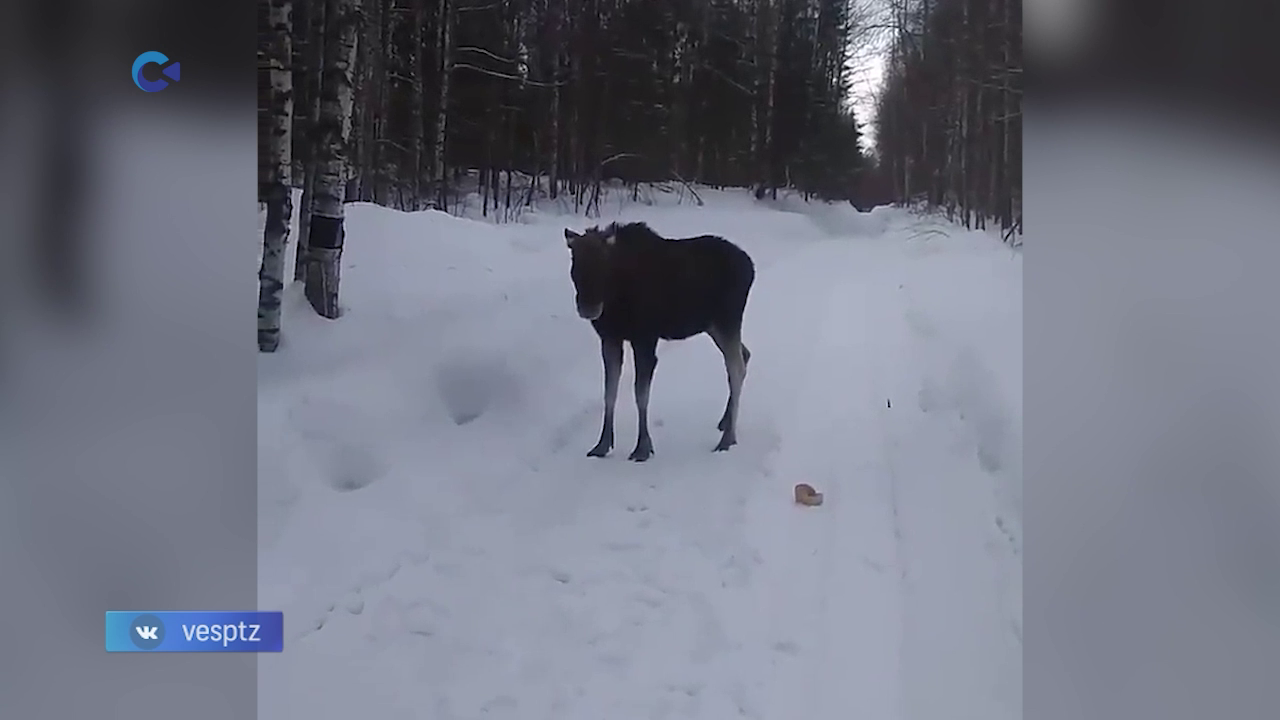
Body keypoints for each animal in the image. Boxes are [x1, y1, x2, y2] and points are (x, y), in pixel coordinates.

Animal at [565, 219, 752, 458]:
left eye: (603, 262)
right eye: (575, 261)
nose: (588, 307)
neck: (615, 299)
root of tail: (751, 267)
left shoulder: (645, 338)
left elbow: (640, 394)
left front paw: (642, 447)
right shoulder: (610, 339)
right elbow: (609, 392)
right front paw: (602, 444)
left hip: (727, 320)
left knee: (736, 368)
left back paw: (727, 438)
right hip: (713, 326)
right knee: (744, 355)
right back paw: (725, 422)